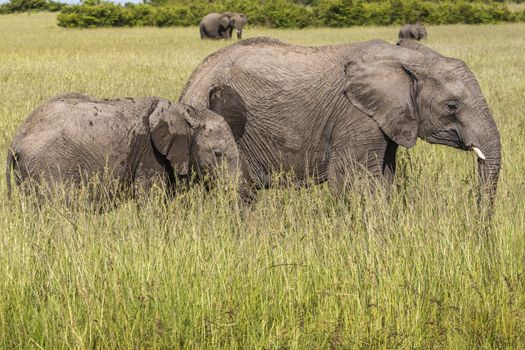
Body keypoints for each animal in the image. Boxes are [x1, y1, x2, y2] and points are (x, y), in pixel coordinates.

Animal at [6, 92, 239, 200]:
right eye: (218, 153)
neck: (189, 112)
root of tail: (16, 141)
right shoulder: (150, 154)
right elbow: (150, 198)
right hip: (49, 166)